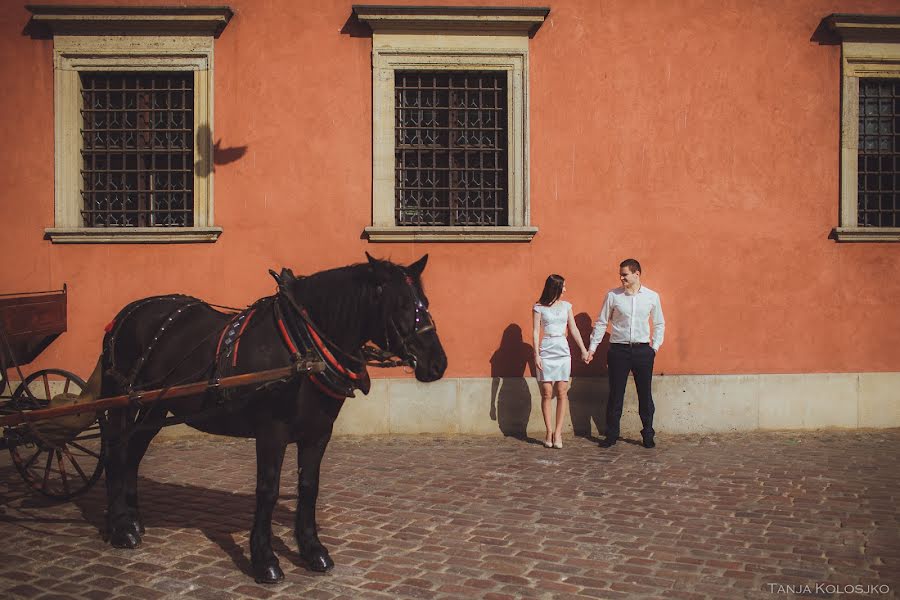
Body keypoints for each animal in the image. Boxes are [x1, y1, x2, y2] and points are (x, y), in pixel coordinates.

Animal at [95, 253, 446, 580]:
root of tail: (125, 313)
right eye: (401, 304)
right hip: (124, 399)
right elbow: (268, 490)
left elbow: (309, 486)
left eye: (426, 303)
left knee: (133, 453)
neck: (303, 346)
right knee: (116, 452)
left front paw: (313, 550)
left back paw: (134, 521)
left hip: (155, 405)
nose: (438, 364)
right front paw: (264, 559)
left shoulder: (318, 432)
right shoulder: (271, 432)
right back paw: (120, 526)